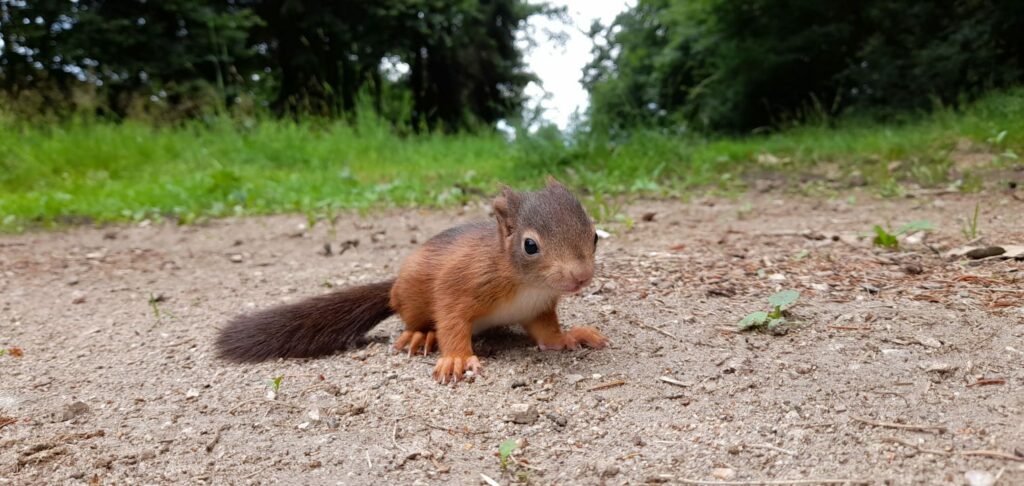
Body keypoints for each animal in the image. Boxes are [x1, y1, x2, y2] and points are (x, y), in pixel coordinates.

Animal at [215, 177, 608, 383]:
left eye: (594, 236)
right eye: (529, 246)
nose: (581, 276)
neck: (527, 285)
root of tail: (393, 287)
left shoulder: (538, 308)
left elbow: (547, 334)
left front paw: (570, 336)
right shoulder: (460, 284)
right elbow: (451, 320)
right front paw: (456, 358)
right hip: (413, 297)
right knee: (415, 319)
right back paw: (421, 335)